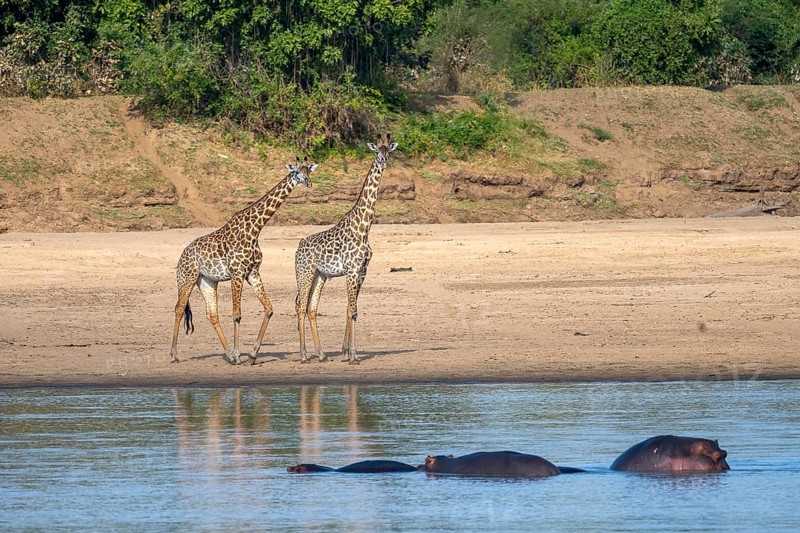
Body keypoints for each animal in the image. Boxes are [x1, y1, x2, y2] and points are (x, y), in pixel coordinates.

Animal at [170, 158, 317, 365]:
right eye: (296, 172)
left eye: (308, 171)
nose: (308, 182)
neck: (255, 229)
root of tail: (181, 256)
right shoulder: (237, 272)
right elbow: (236, 315)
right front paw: (240, 355)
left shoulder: (252, 272)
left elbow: (269, 309)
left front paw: (252, 354)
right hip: (186, 277)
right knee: (179, 308)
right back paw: (175, 354)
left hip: (207, 280)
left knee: (211, 314)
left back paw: (228, 354)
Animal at [294, 133, 398, 365]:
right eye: (377, 151)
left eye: (389, 151)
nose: (383, 161)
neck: (364, 227)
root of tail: (298, 248)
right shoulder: (351, 271)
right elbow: (352, 310)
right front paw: (353, 356)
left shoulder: (362, 271)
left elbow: (351, 309)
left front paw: (347, 352)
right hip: (304, 273)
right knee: (300, 305)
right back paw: (304, 355)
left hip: (320, 275)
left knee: (311, 308)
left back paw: (321, 354)